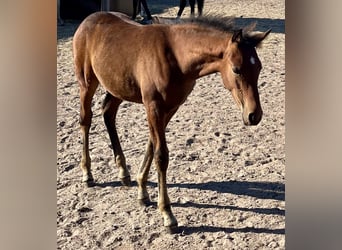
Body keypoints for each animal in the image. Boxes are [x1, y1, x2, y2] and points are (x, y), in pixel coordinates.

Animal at [73, 12, 270, 232]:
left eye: (259, 68)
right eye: (236, 69)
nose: (254, 115)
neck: (175, 56)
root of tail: (89, 19)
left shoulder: (170, 108)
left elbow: (152, 145)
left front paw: (142, 190)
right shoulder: (153, 107)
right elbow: (161, 155)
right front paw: (167, 214)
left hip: (118, 86)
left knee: (108, 113)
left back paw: (123, 172)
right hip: (87, 83)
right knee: (85, 119)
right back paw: (87, 173)